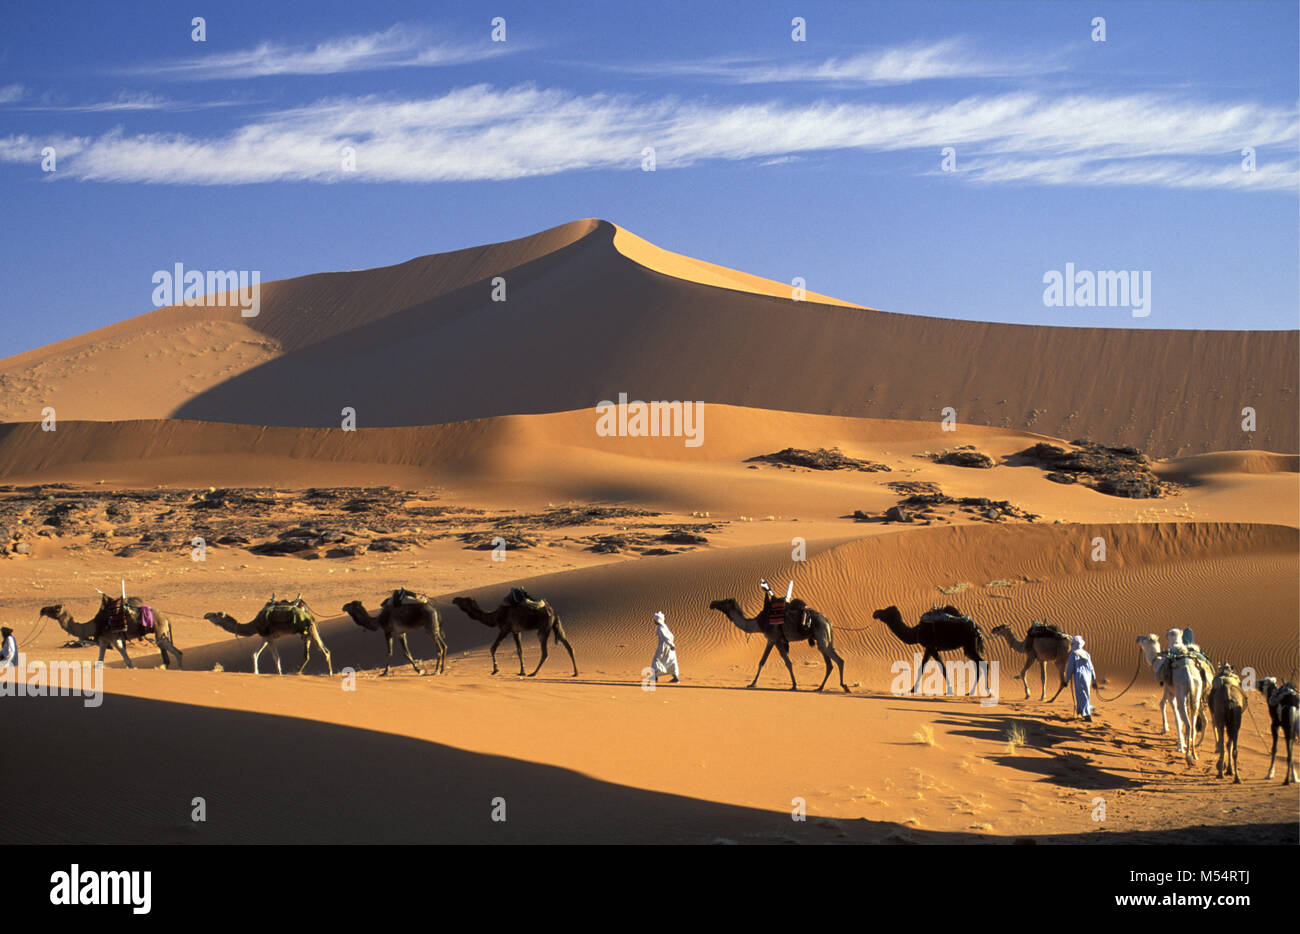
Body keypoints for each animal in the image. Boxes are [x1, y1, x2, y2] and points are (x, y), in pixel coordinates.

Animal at [38, 595, 183, 671]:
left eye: (56, 608)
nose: (42, 610)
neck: (93, 624)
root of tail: (167, 618)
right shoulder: (103, 640)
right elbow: (100, 660)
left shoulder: (114, 638)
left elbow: (124, 656)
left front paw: (133, 668)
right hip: (161, 630)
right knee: (163, 647)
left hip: (160, 629)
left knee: (173, 650)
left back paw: (179, 669)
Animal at [454, 595, 582, 676]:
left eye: (464, 600)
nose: (454, 599)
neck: (495, 616)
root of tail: (553, 612)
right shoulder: (516, 631)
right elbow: (519, 650)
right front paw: (522, 671)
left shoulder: (505, 629)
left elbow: (493, 648)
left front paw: (495, 669)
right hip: (557, 626)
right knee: (568, 646)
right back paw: (575, 672)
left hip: (544, 628)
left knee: (545, 652)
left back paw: (533, 673)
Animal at [707, 593, 847, 697]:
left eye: (725, 601)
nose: (712, 603)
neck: (759, 623)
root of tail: (829, 622)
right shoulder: (770, 640)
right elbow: (762, 661)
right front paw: (752, 683)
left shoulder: (776, 639)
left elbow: (788, 663)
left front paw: (794, 685)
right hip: (822, 639)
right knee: (829, 664)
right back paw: (820, 687)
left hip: (822, 637)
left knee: (839, 660)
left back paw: (844, 687)